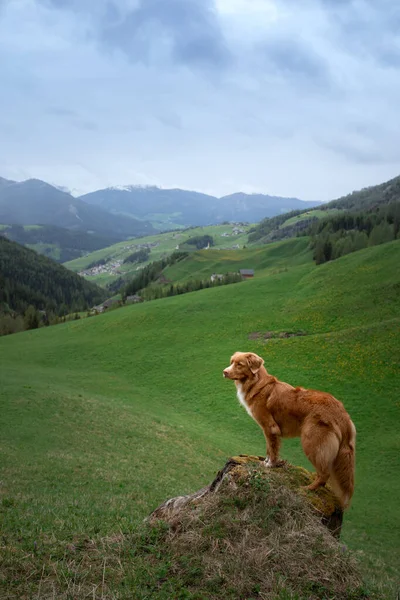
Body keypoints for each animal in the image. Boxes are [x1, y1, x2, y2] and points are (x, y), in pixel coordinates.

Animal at [222, 350, 356, 508]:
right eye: (231, 362)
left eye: (240, 364)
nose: (224, 372)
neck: (257, 384)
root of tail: (342, 412)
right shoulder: (268, 430)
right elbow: (269, 448)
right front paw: (266, 462)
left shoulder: (269, 427)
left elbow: (272, 448)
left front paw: (270, 465)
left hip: (312, 443)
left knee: (325, 474)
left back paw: (307, 488)